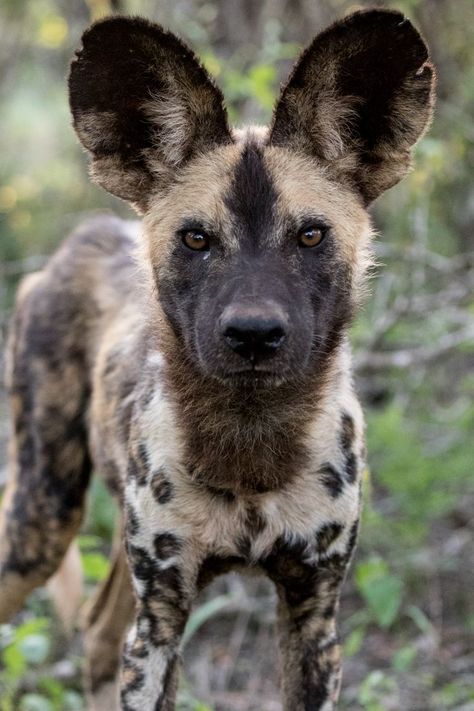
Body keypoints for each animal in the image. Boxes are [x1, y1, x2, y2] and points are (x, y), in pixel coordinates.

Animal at [0, 9, 434, 711]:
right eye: (196, 239)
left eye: (310, 235)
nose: (254, 334)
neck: (250, 445)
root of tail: (80, 239)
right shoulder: (160, 623)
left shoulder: (313, 620)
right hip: (42, 520)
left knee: (96, 635)